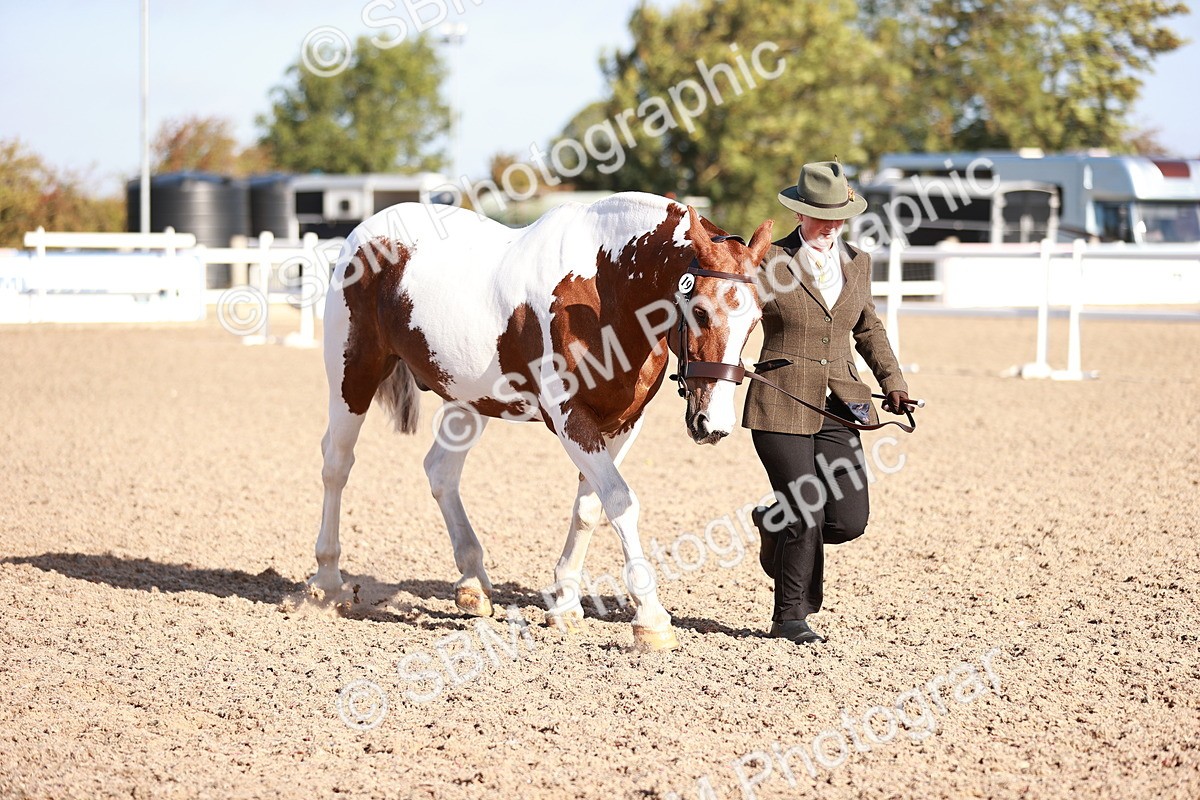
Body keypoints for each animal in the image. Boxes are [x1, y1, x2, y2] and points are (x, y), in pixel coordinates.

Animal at [310, 192, 773, 651]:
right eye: (700, 312)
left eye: (756, 321)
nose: (712, 424)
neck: (604, 288)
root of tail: (367, 234)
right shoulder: (569, 418)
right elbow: (620, 502)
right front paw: (651, 619)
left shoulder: (624, 422)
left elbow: (591, 507)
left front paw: (565, 604)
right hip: (353, 376)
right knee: (336, 464)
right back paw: (328, 582)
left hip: (467, 401)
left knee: (440, 472)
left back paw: (472, 584)